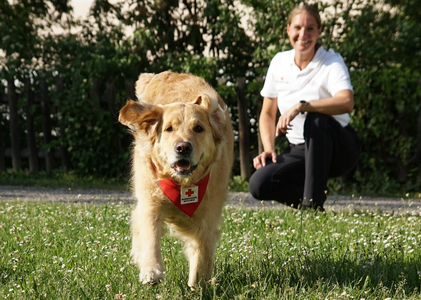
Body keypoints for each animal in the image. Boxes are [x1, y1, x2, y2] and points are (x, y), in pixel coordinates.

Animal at [119, 71, 233, 288]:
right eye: (169, 128)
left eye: (198, 128)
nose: (183, 147)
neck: (182, 184)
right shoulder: (151, 203)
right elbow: (150, 236)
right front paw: (151, 271)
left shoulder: (208, 215)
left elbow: (202, 251)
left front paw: (197, 285)